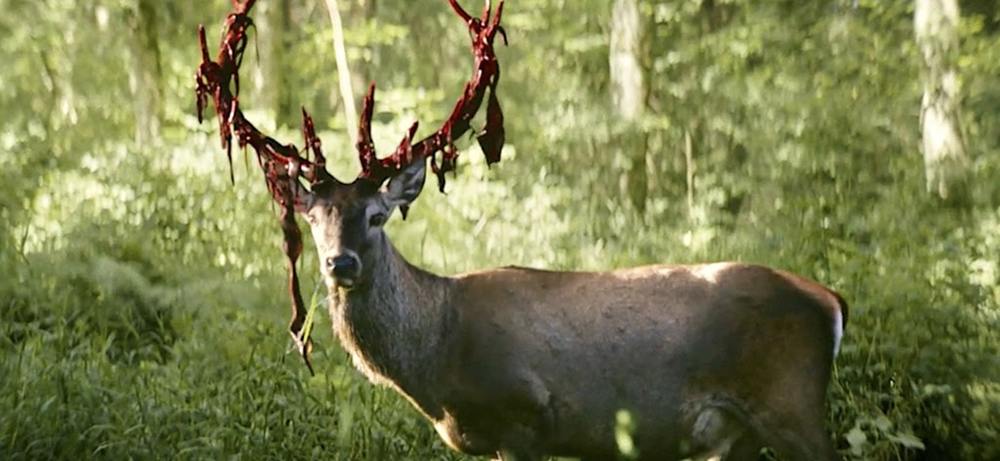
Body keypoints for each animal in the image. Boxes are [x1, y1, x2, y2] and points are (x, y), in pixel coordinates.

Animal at [193, 0, 844, 460]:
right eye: (314, 219)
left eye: (376, 216)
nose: (341, 263)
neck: (438, 359)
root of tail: (830, 301)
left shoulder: (522, 414)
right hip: (739, 433)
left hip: (790, 404)